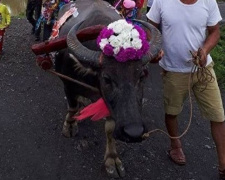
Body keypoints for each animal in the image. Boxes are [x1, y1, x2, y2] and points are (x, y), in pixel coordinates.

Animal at [48, 0, 161, 177]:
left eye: (141, 76)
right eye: (107, 79)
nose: (134, 131)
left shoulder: (111, 105)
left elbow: (110, 128)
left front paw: (111, 159)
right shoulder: (68, 84)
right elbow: (72, 107)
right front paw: (70, 125)